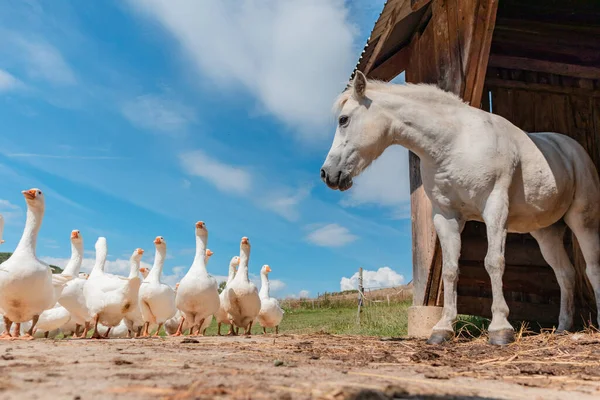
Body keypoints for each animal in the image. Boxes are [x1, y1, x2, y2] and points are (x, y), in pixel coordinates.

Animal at [322, 70, 600, 346]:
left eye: (344, 120)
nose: (327, 174)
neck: (454, 142)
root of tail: (573, 150)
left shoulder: (495, 208)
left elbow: (494, 262)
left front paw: (500, 329)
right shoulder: (446, 216)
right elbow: (450, 270)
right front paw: (442, 329)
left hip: (582, 221)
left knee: (592, 267)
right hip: (546, 232)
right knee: (565, 274)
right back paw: (563, 327)